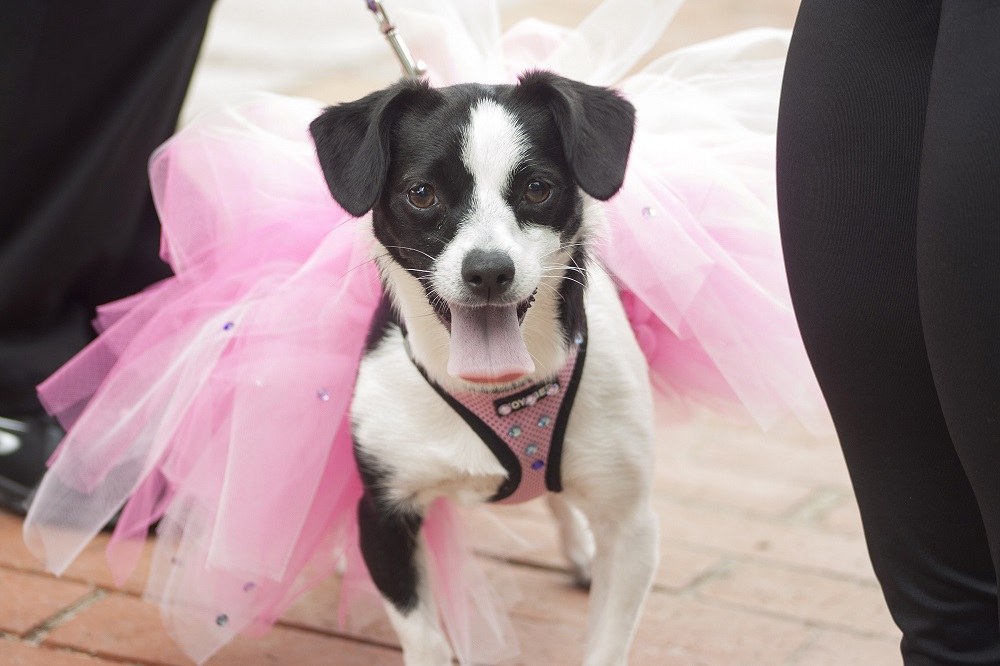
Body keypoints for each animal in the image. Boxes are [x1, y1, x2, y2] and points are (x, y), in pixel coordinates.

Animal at [308, 70, 660, 660]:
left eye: (537, 188)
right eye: (421, 194)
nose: (489, 271)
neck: (499, 388)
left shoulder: (631, 524)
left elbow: (607, 647)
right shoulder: (383, 515)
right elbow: (425, 641)